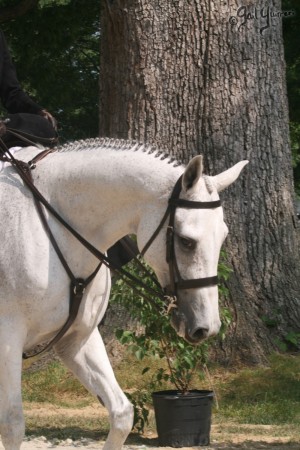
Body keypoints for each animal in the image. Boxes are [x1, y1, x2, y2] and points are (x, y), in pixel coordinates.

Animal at [0, 139, 247, 448]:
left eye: (223, 237)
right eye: (186, 242)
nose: (207, 328)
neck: (56, 227)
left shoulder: (77, 339)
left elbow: (121, 414)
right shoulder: (7, 342)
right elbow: (12, 426)